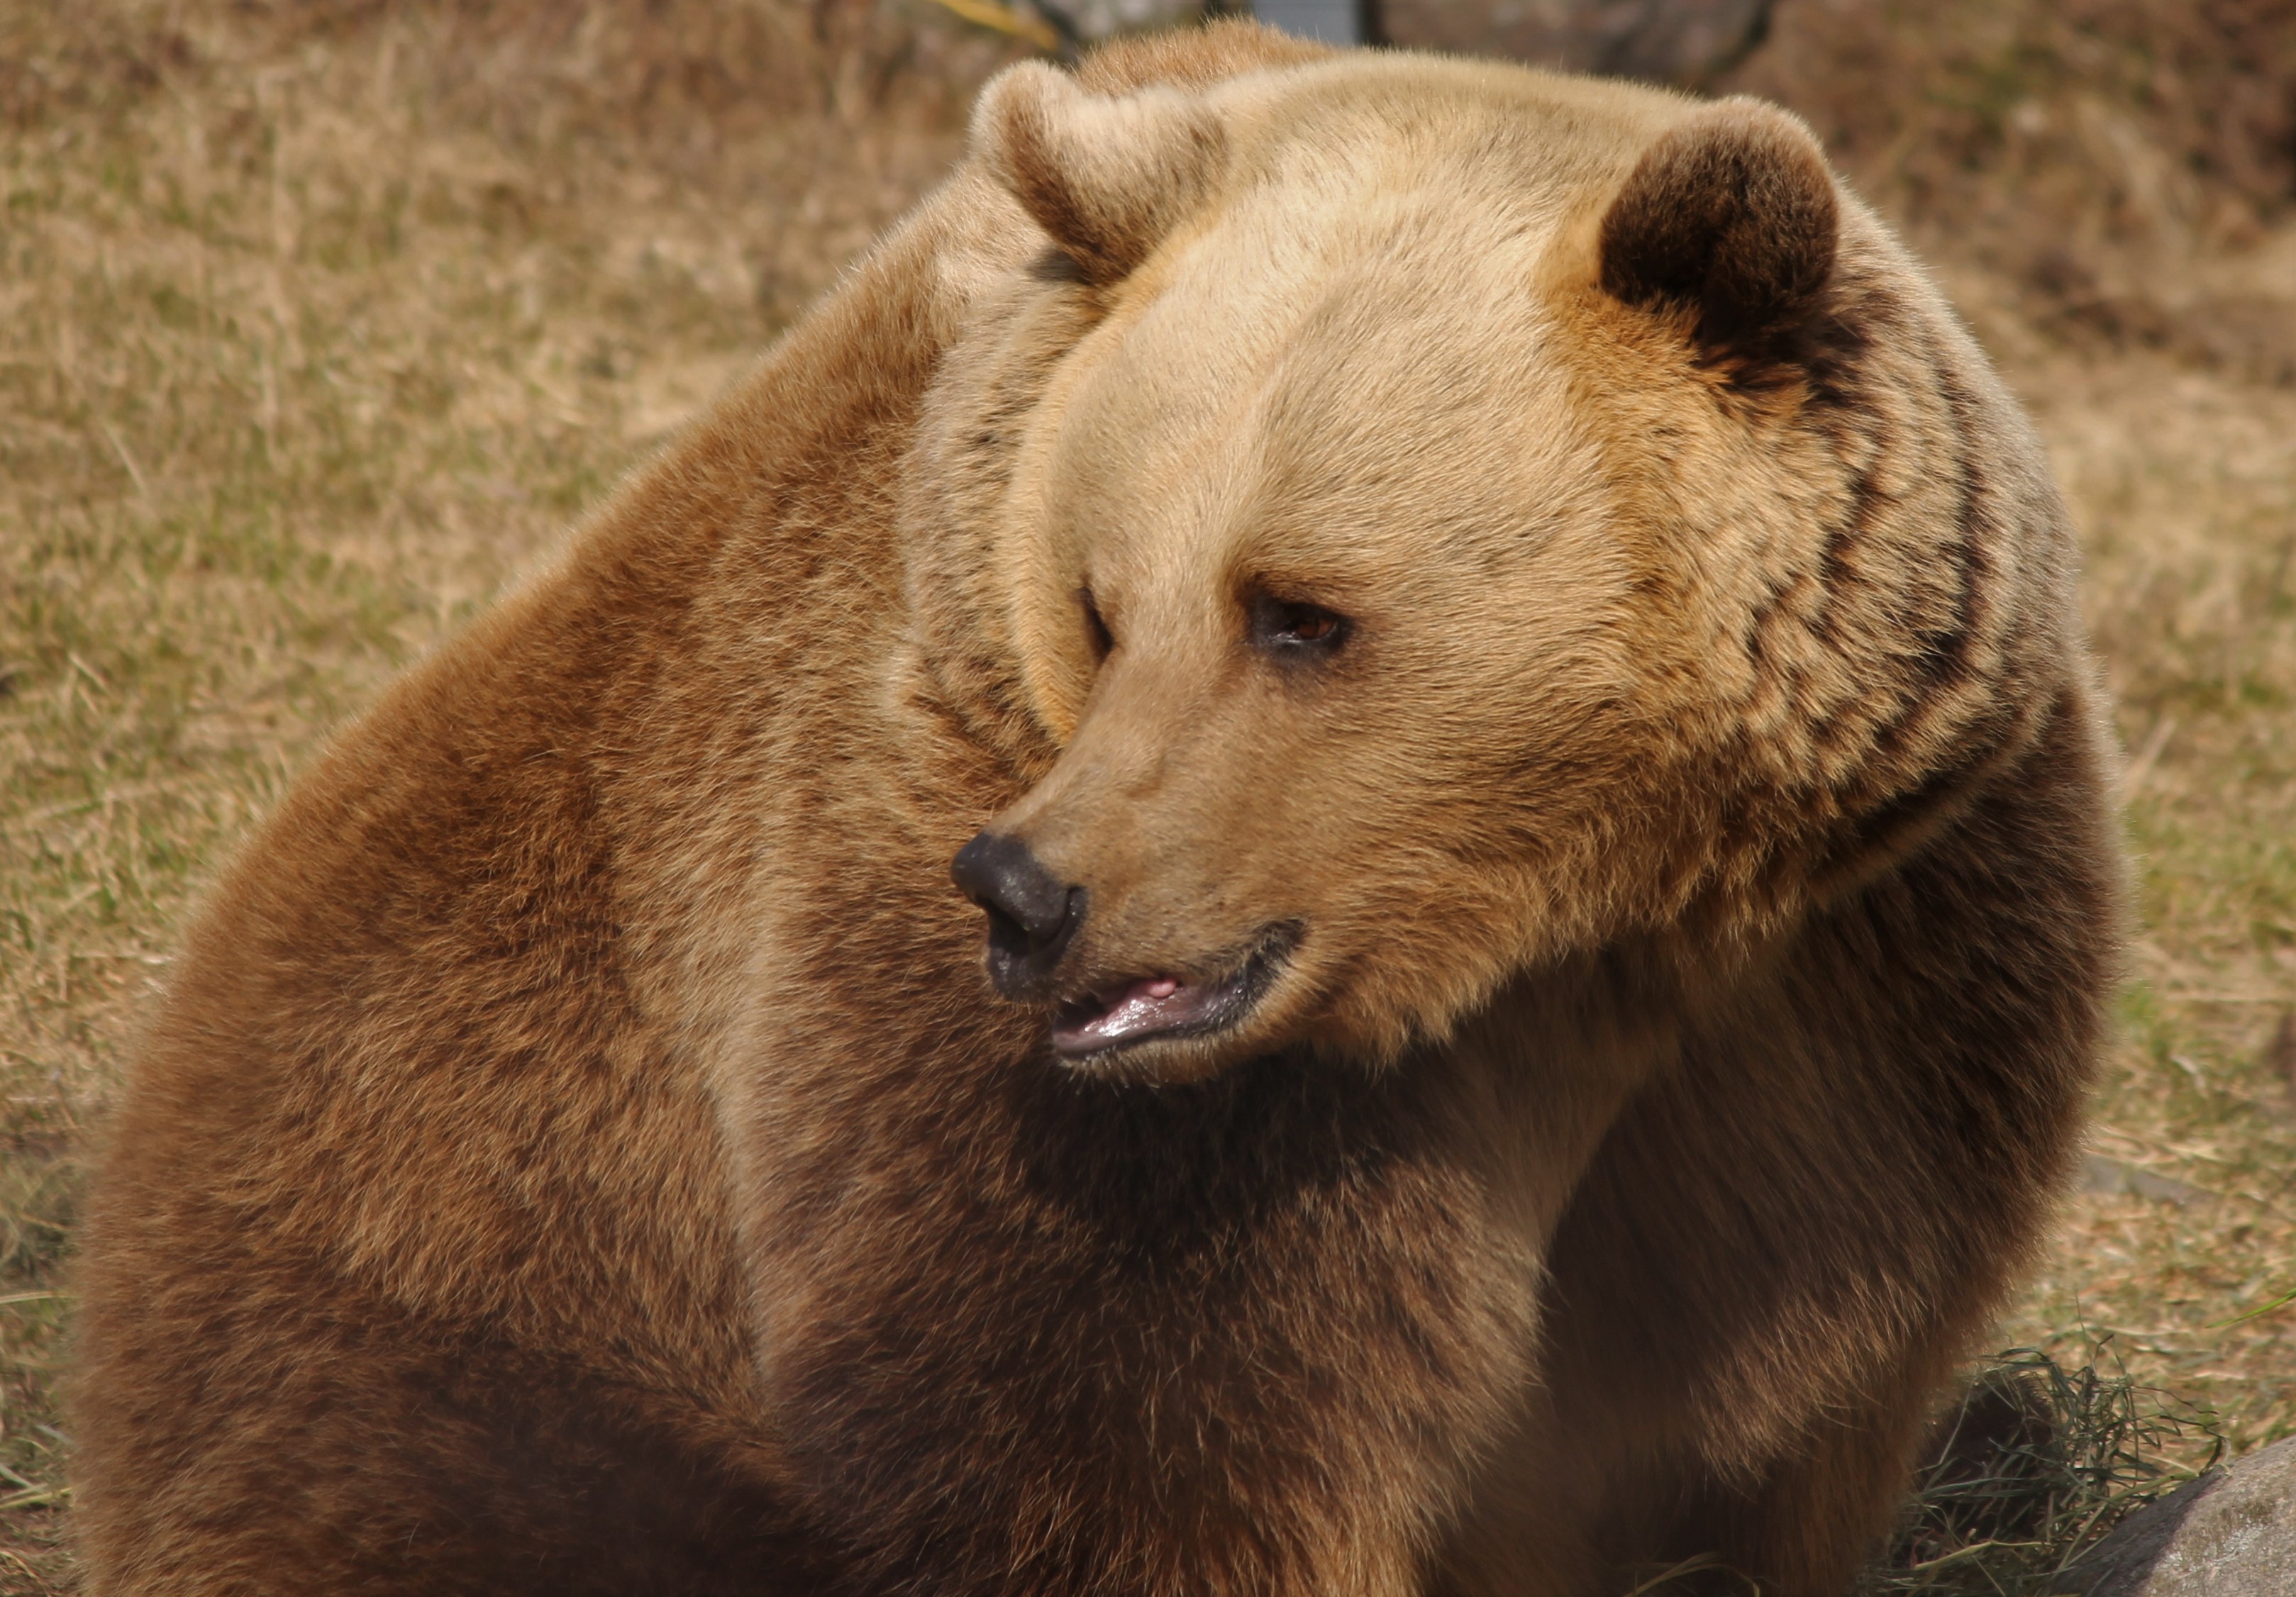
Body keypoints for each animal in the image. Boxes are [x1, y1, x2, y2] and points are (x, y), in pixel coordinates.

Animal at [67, 25, 2112, 1597]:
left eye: (1298, 614)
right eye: (1103, 603)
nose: (1028, 892)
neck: (1570, 938)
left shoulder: (1874, 982)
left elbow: (1760, 1425)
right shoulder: (1044, 1082)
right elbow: (1127, 1437)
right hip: (458, 1312)